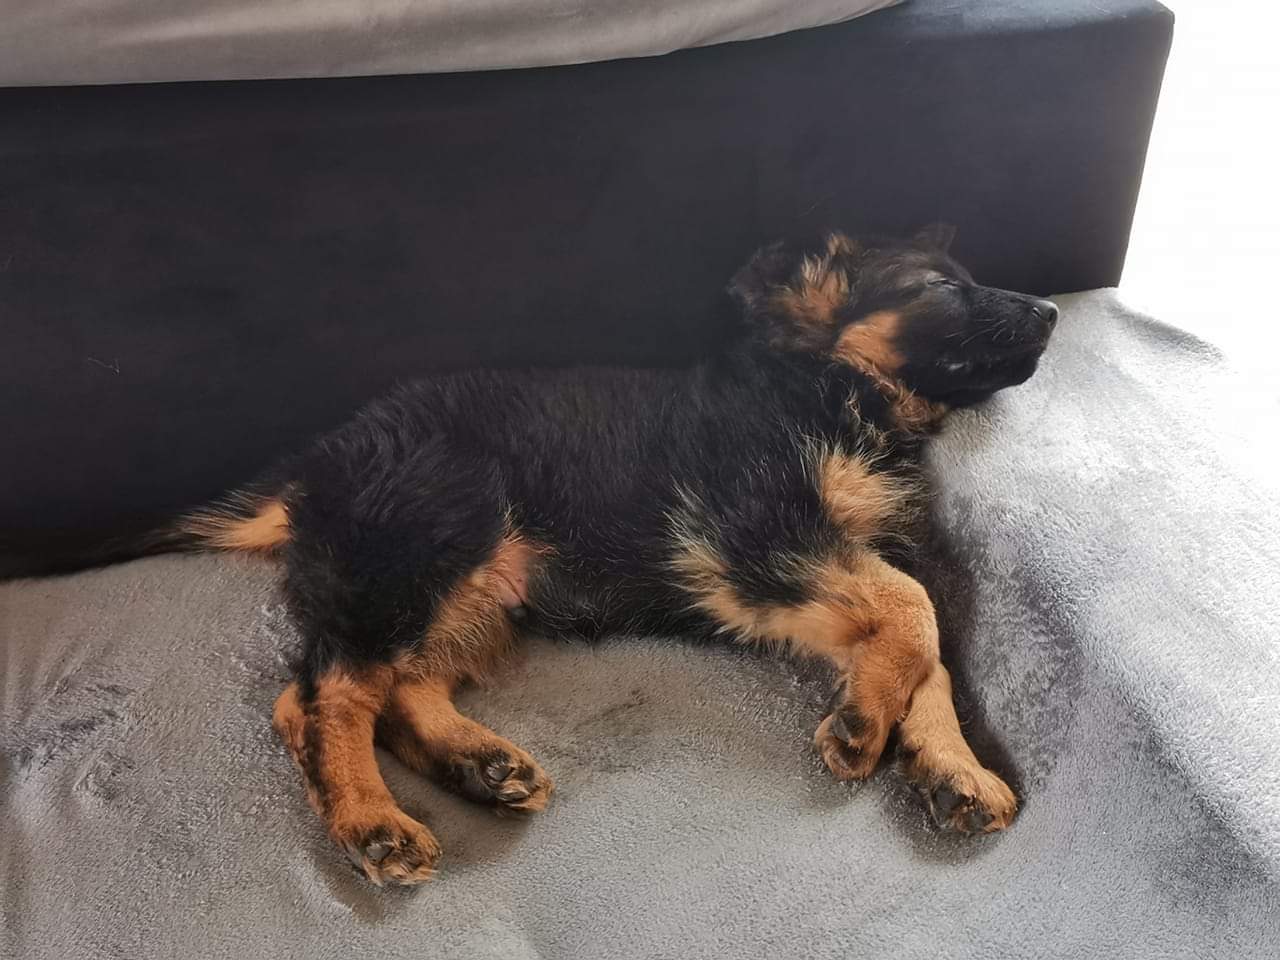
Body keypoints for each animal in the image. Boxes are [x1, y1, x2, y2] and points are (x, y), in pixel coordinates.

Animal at [21, 225, 1058, 885]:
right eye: (939, 289)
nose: (1051, 311)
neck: (840, 390)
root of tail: (315, 466)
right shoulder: (754, 535)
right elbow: (914, 607)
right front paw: (863, 728)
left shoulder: (817, 556)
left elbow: (922, 641)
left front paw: (948, 765)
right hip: (433, 535)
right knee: (320, 692)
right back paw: (371, 824)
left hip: (484, 583)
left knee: (387, 686)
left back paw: (478, 767)